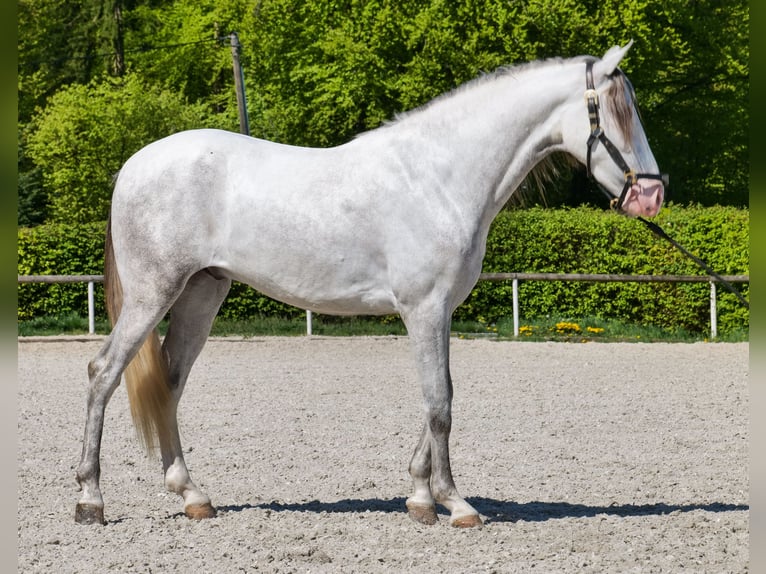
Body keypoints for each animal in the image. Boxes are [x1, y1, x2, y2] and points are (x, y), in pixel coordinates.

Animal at [75, 42, 665, 527]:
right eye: (618, 112)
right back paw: (90, 500)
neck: (439, 177)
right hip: (154, 293)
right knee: (104, 372)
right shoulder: (424, 308)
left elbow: (439, 395)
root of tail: (133, 166)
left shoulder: (439, 312)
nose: (652, 196)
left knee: (170, 382)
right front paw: (456, 504)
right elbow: (440, 402)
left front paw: (420, 499)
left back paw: (192, 496)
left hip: (202, 292)